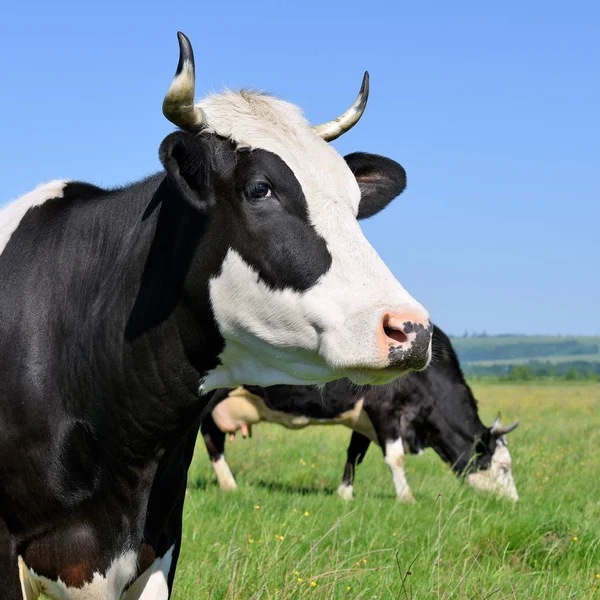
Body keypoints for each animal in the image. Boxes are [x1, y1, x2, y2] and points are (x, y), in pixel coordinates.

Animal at [203, 328, 520, 502]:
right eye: (503, 467)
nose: (514, 501)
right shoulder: (386, 412)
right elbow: (395, 458)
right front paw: (406, 498)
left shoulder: (363, 420)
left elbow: (354, 454)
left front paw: (344, 494)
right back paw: (228, 485)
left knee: (212, 438)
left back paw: (229, 485)